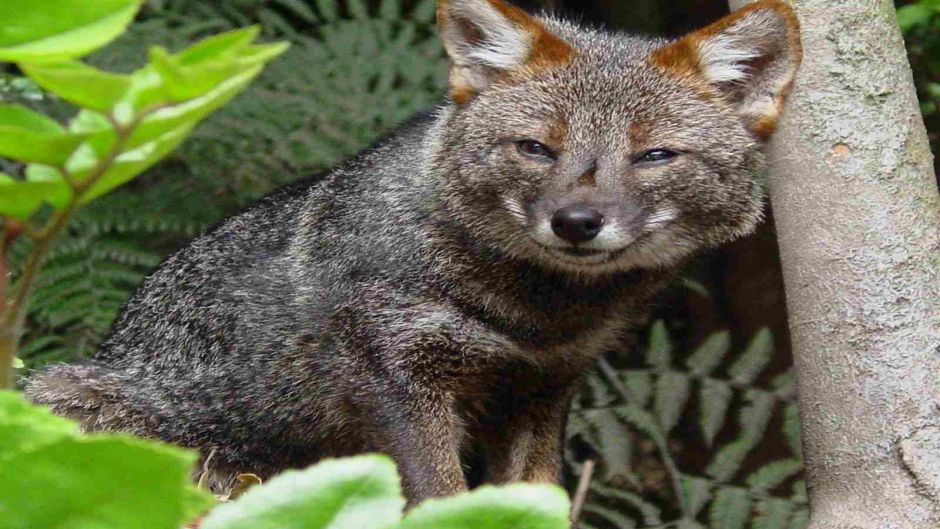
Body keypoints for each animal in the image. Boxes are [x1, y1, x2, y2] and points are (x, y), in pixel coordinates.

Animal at [23, 0, 800, 504]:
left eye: (655, 156)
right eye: (536, 148)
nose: (577, 222)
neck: (533, 315)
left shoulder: (542, 387)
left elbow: (534, 496)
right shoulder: (397, 380)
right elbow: (440, 497)